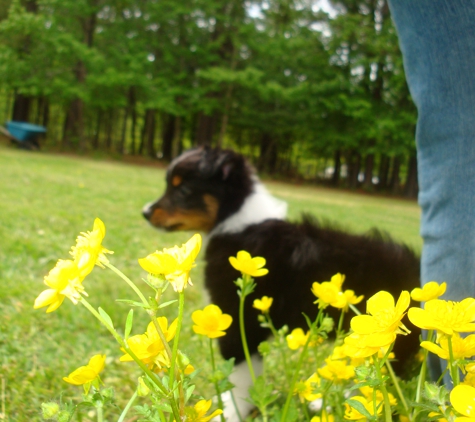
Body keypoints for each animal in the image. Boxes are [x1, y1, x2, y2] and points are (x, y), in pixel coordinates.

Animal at [143, 147, 422, 420]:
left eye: (183, 190)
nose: (145, 212)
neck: (237, 221)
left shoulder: (240, 318)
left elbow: (241, 375)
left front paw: (232, 412)